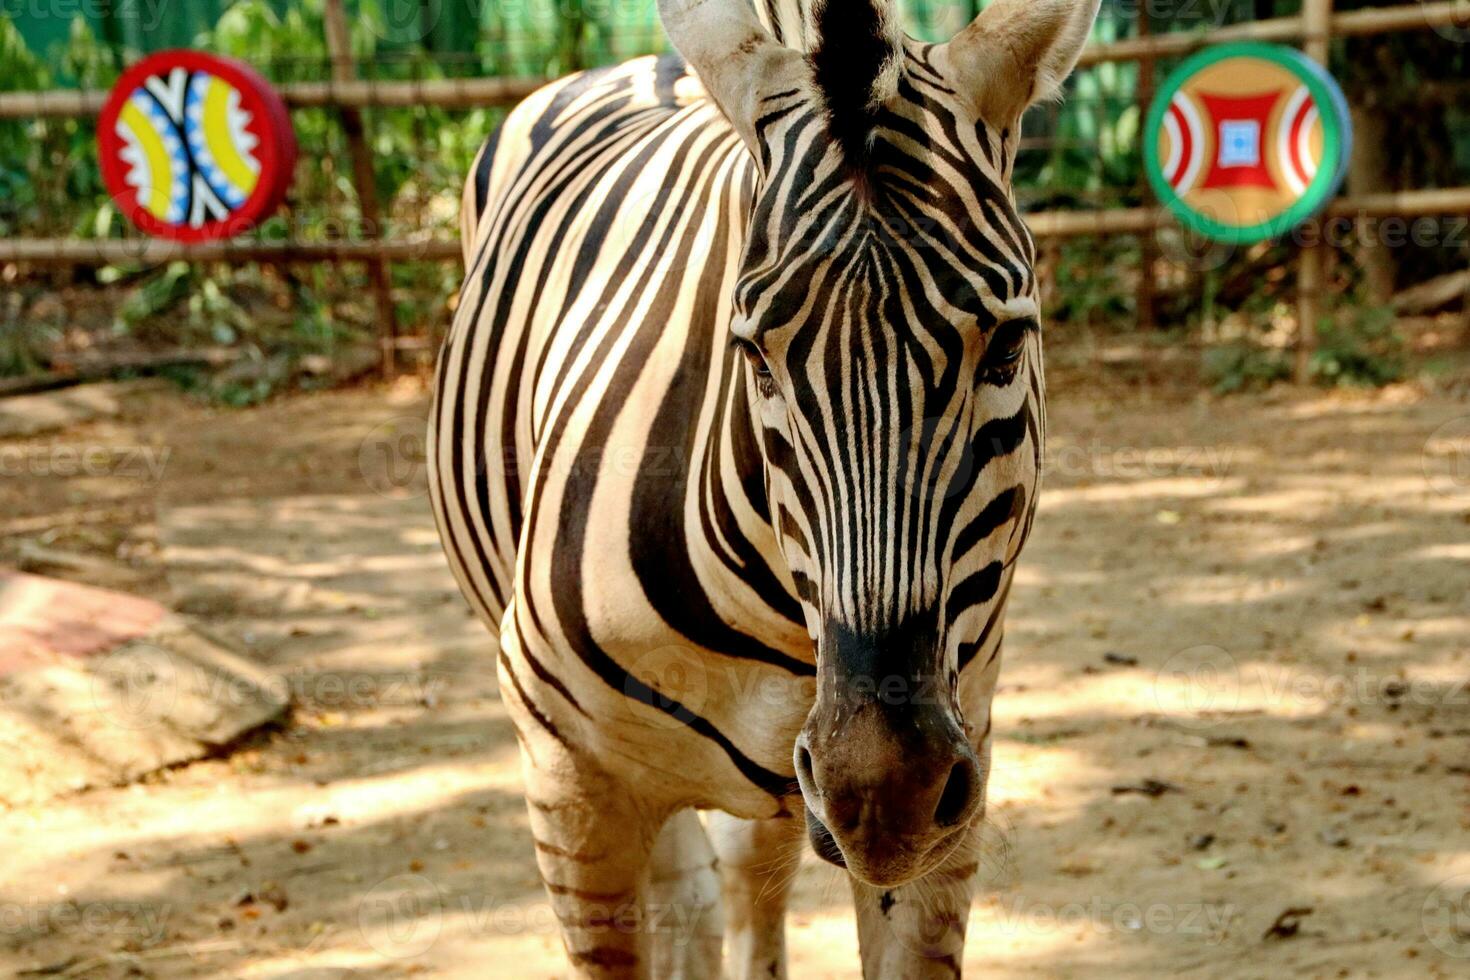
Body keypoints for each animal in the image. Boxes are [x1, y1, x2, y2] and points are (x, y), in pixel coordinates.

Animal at [429, 0, 1099, 975]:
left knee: (745, 877)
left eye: (1008, 347)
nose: (881, 790)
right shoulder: (570, 782)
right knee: (691, 892)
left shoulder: (954, 771)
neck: (784, 630)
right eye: (753, 356)